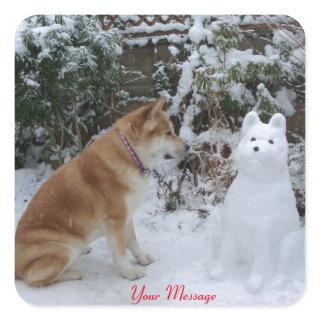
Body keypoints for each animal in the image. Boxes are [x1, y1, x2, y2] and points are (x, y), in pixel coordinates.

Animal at [15, 97, 188, 288]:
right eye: (168, 133)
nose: (188, 147)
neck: (130, 155)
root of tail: (15, 266)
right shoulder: (114, 221)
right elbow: (120, 253)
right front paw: (129, 272)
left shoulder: (126, 217)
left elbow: (133, 242)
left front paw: (141, 258)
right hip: (64, 250)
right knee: (35, 279)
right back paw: (73, 273)